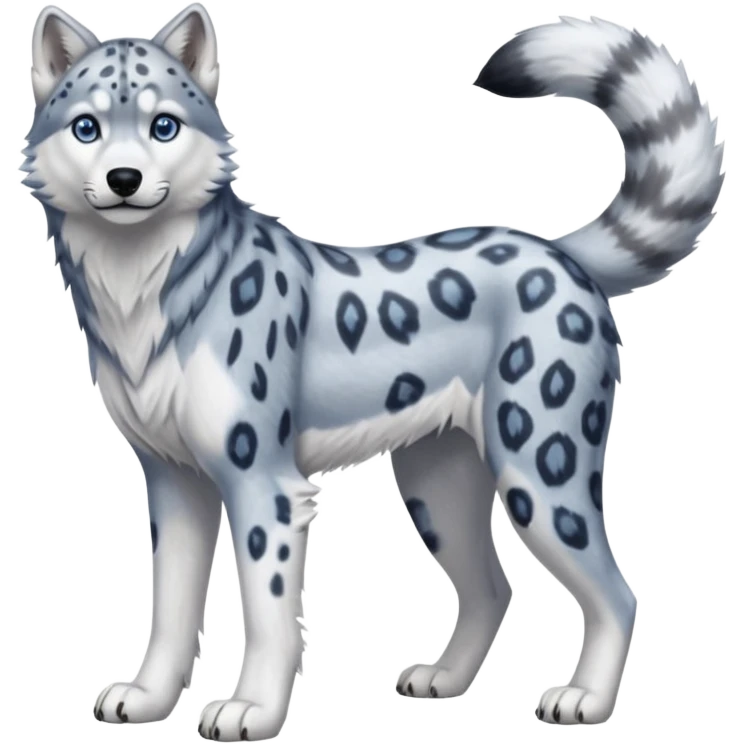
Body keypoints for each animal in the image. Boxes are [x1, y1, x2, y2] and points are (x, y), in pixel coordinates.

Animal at [22, 3, 724, 739]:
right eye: (87, 127)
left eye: (164, 125)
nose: (124, 179)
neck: (137, 291)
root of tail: (559, 253)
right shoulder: (173, 479)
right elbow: (170, 609)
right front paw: (149, 698)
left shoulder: (262, 483)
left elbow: (269, 615)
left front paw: (252, 708)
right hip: (437, 484)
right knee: (492, 586)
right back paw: (444, 680)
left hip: (539, 469)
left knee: (617, 592)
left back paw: (584, 699)